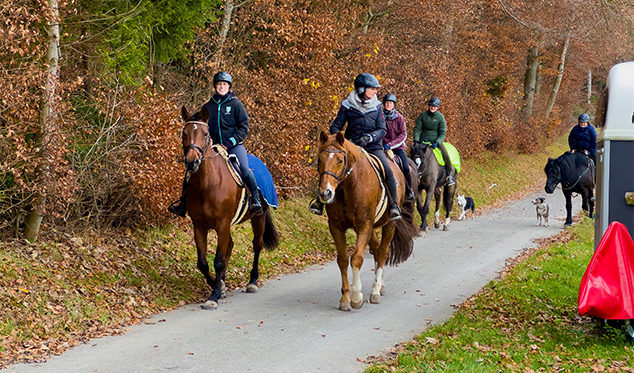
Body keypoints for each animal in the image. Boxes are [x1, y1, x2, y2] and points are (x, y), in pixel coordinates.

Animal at [178, 104, 276, 308]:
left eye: (205, 133)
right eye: (184, 133)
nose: (192, 162)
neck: (207, 184)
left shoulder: (222, 224)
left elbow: (218, 261)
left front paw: (214, 295)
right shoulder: (199, 226)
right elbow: (203, 262)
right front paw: (218, 286)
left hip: (259, 217)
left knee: (257, 246)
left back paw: (252, 282)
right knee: (230, 246)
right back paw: (222, 280)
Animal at [314, 131, 414, 310]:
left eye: (340, 160)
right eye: (320, 159)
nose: (325, 193)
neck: (348, 187)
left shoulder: (364, 225)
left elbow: (356, 258)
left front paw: (356, 297)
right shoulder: (336, 227)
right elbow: (342, 259)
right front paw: (345, 297)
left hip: (389, 224)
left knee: (383, 252)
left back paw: (375, 291)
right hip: (372, 227)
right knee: (376, 249)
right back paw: (380, 285)